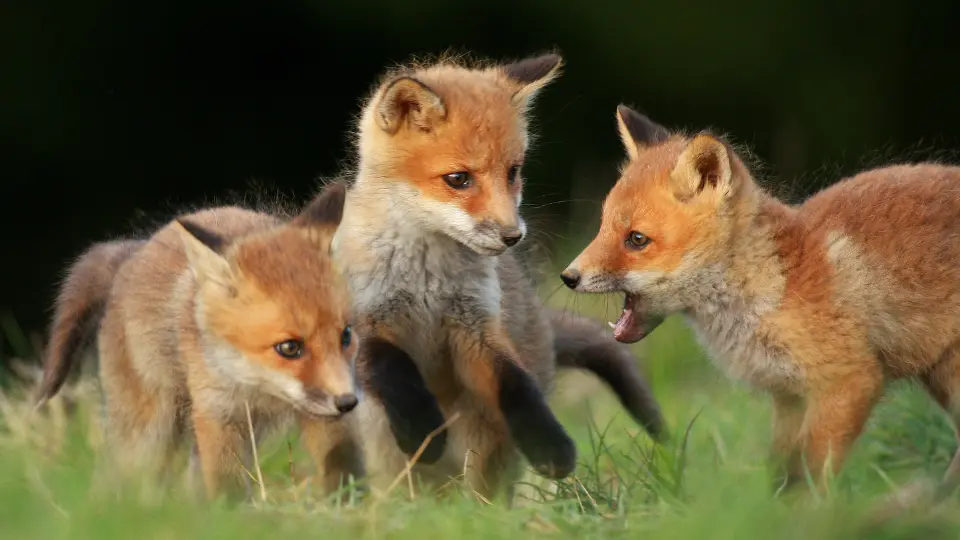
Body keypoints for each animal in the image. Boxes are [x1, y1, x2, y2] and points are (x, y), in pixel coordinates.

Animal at [35, 184, 368, 500]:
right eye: (289, 348)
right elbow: (227, 488)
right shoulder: (217, 411)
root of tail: (134, 252)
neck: (261, 390)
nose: (348, 402)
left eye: (346, 335)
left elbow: (344, 470)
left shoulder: (326, 416)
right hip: (148, 434)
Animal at [330, 53, 666, 501]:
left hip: (485, 442)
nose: (512, 236)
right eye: (458, 179)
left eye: (512, 172)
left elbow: (514, 383)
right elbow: (391, 367)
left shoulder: (475, 327)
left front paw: (551, 446)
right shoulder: (364, 320)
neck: (427, 281)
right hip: (386, 451)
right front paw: (422, 429)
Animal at [561, 104, 960, 498]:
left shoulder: (848, 381)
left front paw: (814, 512)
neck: (773, 286)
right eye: (602, 228)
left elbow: (814, 472)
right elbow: (781, 471)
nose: (568, 276)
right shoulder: (788, 397)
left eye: (637, 239)